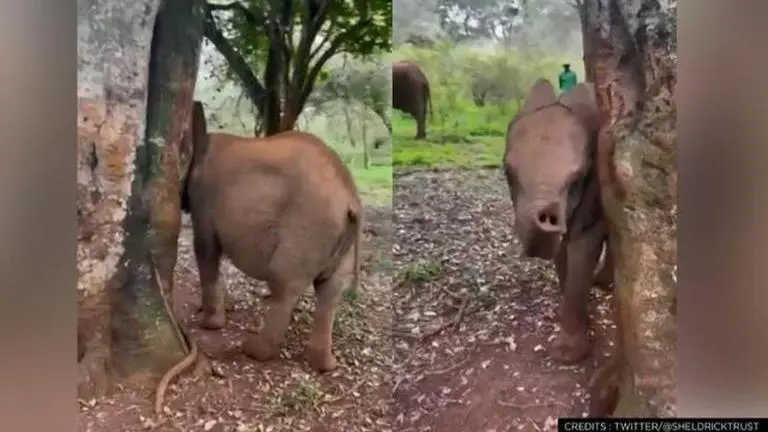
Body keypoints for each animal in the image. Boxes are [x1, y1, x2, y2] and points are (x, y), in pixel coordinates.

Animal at [180, 102, 363, 373]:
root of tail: (350, 199)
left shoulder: (202, 194)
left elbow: (205, 248)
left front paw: (209, 325)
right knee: (330, 291)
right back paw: (326, 365)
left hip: (307, 227)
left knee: (284, 283)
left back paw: (253, 351)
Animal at [502, 79, 614, 364]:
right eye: (507, 171)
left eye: (577, 178)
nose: (549, 218)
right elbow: (562, 252)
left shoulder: (595, 182)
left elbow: (583, 243)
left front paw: (568, 356)